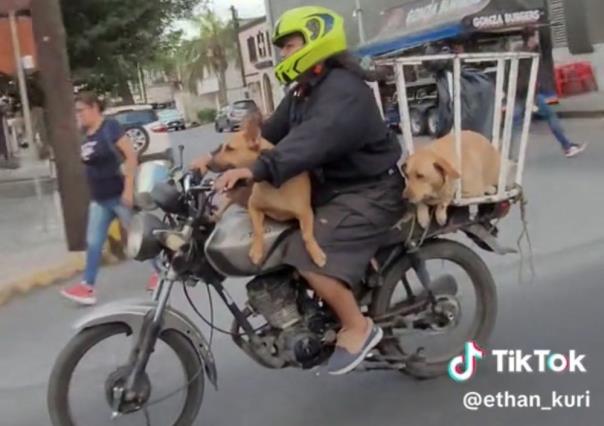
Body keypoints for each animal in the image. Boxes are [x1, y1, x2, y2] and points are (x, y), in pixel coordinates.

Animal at [210, 111, 328, 268]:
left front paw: (316, 252)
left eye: (229, 149)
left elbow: (307, 235)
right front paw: (257, 249)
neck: (270, 182)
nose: (208, 163)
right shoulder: (254, 207)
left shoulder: (306, 213)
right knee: (226, 203)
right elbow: (258, 229)